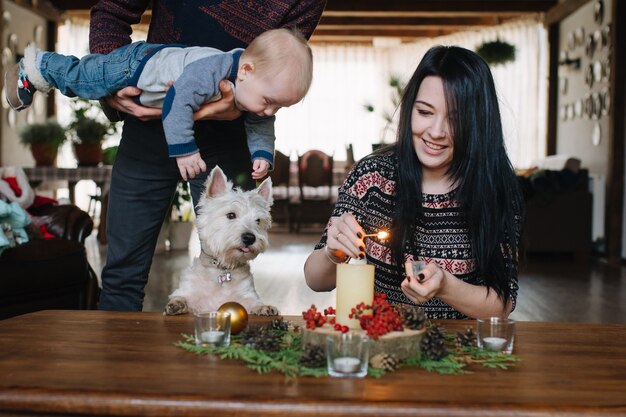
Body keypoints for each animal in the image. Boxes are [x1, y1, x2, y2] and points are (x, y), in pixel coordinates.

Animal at [163, 166, 278, 316]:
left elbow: (254, 303)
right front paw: (176, 304)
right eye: (231, 215)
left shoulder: (246, 296)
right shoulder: (191, 295)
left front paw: (264, 308)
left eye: (258, 221)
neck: (222, 270)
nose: (249, 238)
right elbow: (181, 297)